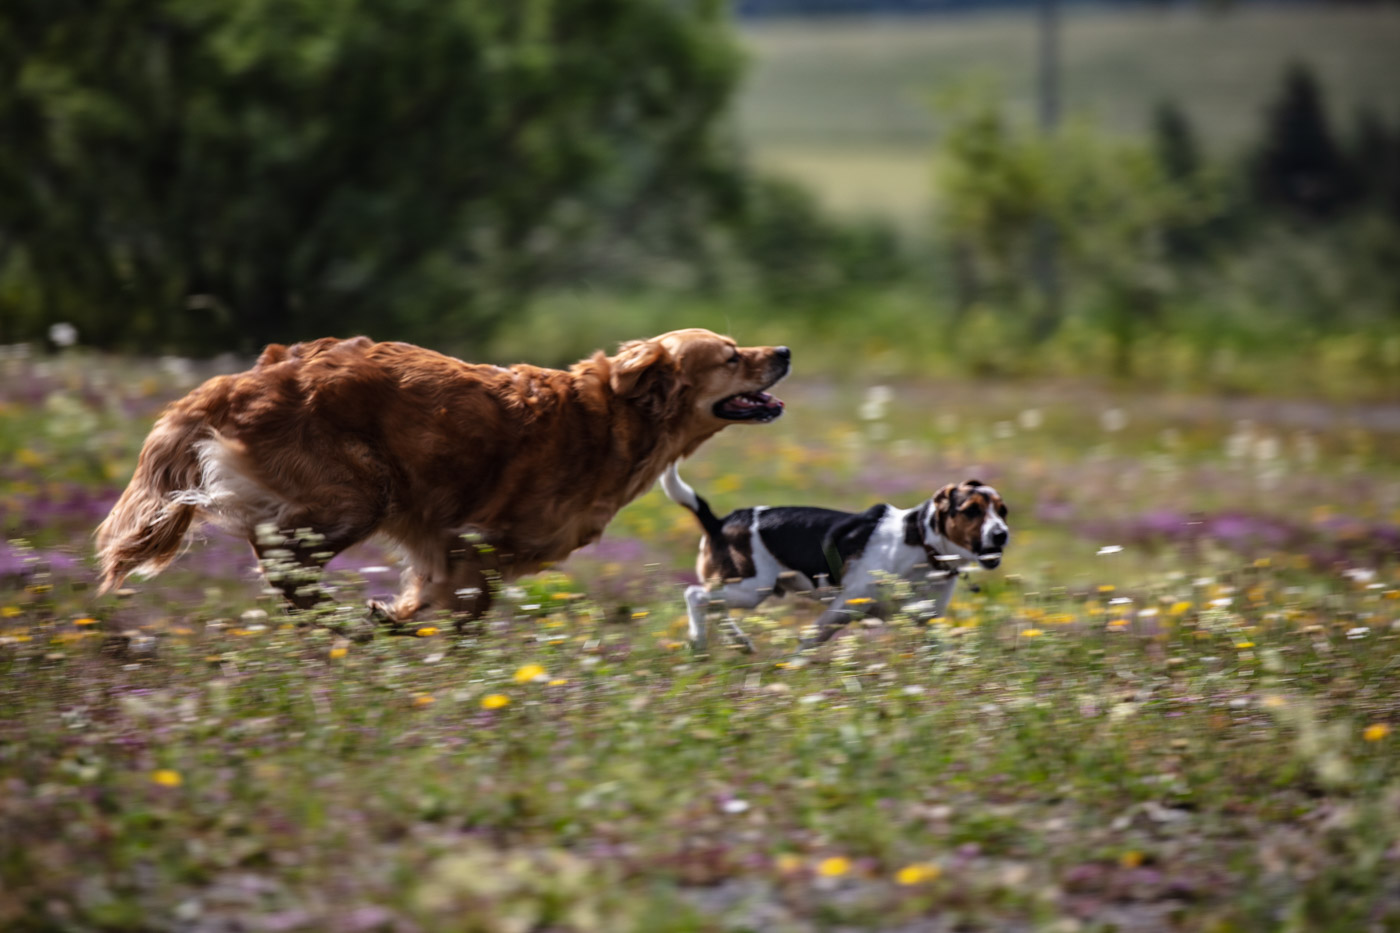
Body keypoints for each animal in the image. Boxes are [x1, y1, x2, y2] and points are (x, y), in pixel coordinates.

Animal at [98, 330, 789, 622]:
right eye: (731, 356)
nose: (783, 351)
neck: (617, 417)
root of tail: (240, 379)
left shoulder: (444, 547)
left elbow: (427, 596)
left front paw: (396, 615)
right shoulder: (474, 542)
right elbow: (465, 611)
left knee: (275, 552)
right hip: (360, 493)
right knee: (281, 557)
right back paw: (334, 618)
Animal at [660, 462, 1013, 650]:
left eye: (1003, 510)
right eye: (971, 511)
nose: (1002, 535)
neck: (922, 545)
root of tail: (719, 522)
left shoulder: (926, 619)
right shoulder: (843, 606)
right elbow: (807, 642)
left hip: (744, 589)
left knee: (714, 605)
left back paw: (739, 642)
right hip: (750, 588)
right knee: (696, 596)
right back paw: (699, 641)